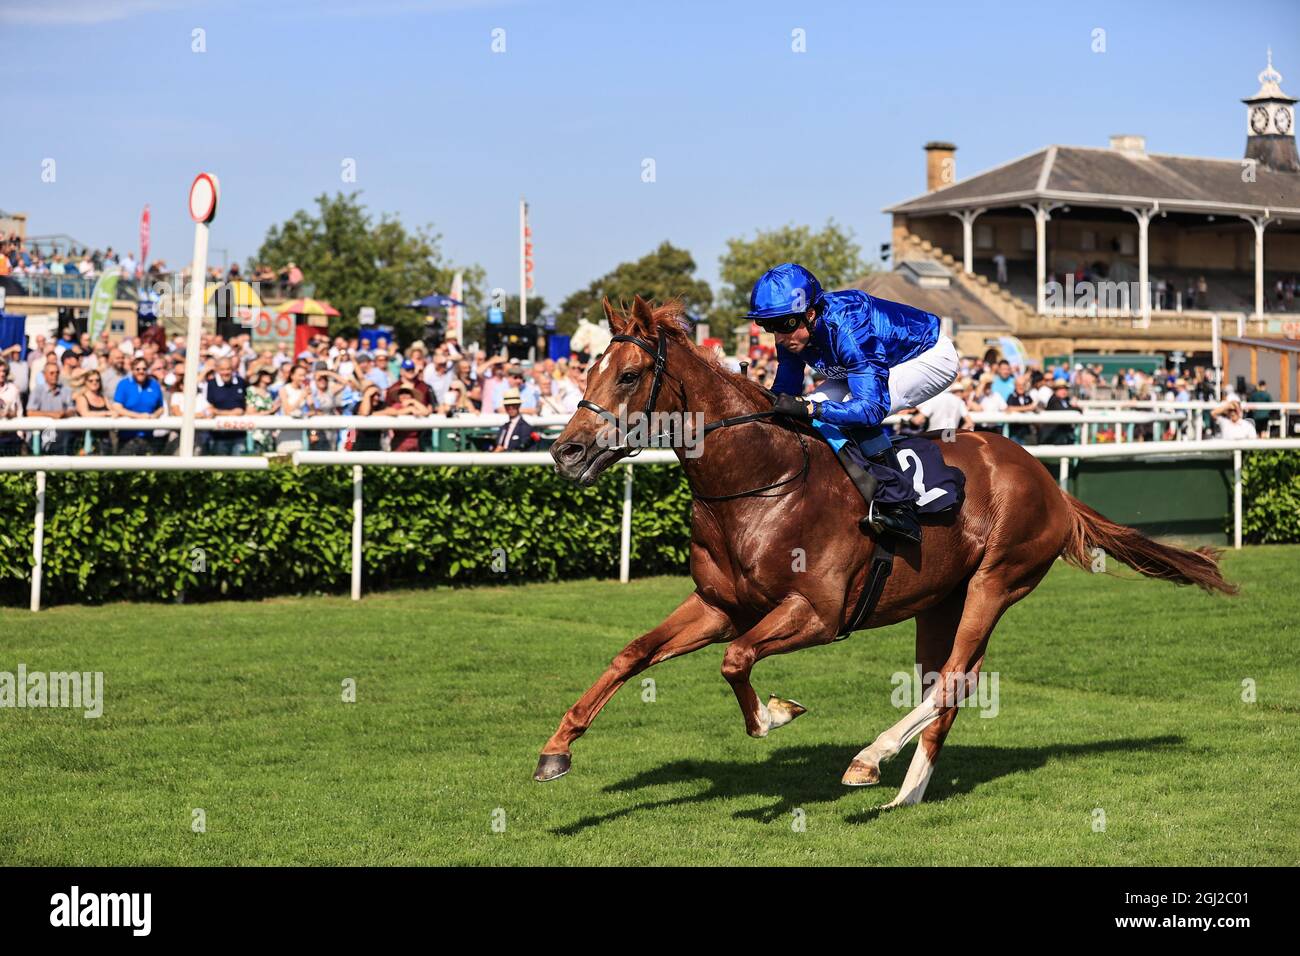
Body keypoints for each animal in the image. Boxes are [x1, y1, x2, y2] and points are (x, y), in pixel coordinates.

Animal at [533, 297, 1232, 806]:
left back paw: (871, 761)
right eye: (586, 370)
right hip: (940, 599)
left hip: (997, 581)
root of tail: (1049, 483)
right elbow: (631, 654)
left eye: (628, 376)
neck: (762, 483)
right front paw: (556, 749)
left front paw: (775, 715)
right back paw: (907, 792)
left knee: (953, 680)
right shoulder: (718, 604)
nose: (566, 451)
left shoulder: (817, 612)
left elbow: (735, 661)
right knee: (947, 685)